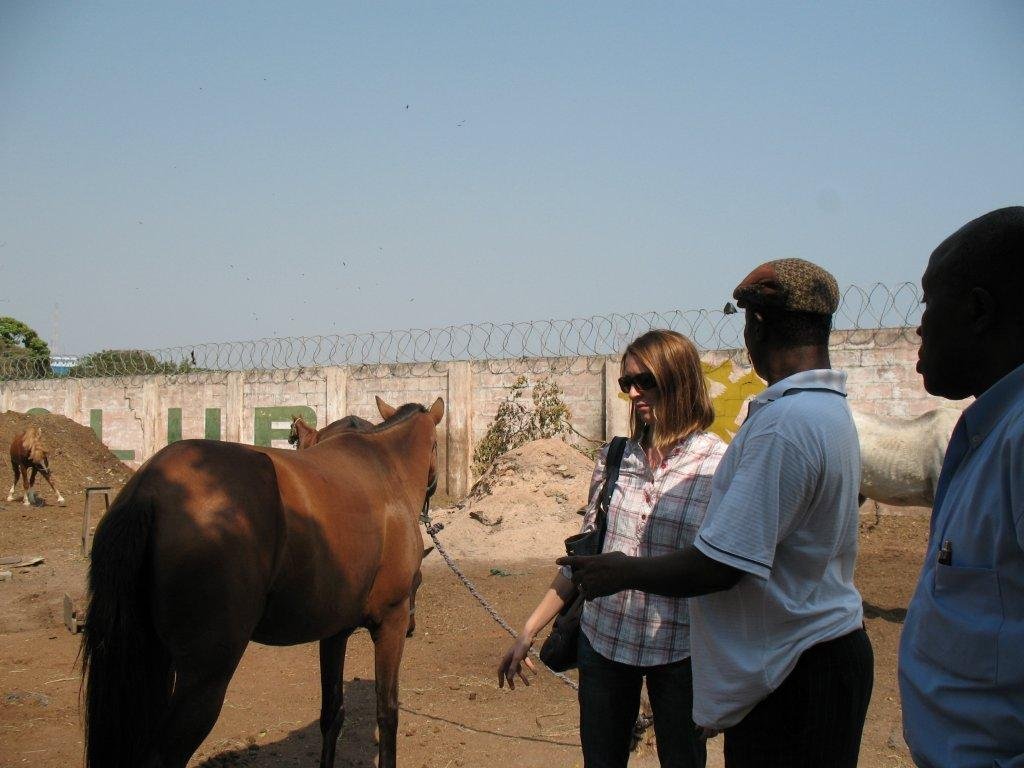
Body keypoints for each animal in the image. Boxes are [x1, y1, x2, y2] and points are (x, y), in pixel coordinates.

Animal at [82, 396, 445, 768]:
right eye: (417, 583)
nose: (412, 627)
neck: (386, 470)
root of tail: (150, 487)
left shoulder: (334, 632)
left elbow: (333, 713)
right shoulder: (390, 622)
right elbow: (387, 713)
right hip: (204, 676)